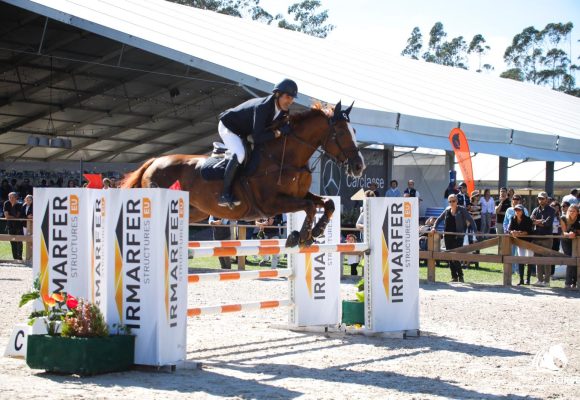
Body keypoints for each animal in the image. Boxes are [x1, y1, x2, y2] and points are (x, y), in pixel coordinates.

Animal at [121, 100, 368, 247]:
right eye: (341, 133)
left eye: (355, 130)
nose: (359, 166)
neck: (286, 157)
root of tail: (153, 161)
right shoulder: (271, 203)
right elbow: (309, 207)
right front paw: (302, 236)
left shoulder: (298, 195)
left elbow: (328, 203)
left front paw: (315, 231)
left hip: (195, 211)